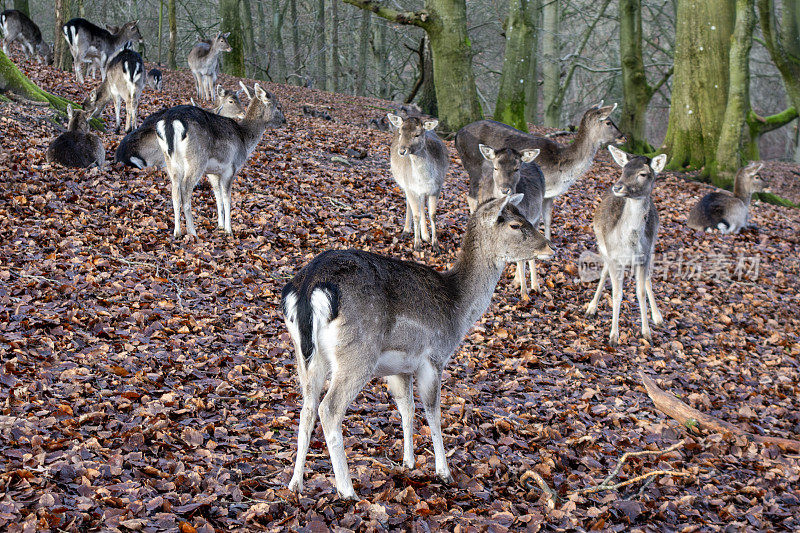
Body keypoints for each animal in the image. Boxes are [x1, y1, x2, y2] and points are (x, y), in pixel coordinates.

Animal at [282, 194, 556, 498]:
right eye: (515, 224)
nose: (549, 247)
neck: (457, 308)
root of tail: (309, 286)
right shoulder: (433, 358)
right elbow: (433, 411)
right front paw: (443, 472)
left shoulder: (399, 367)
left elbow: (407, 408)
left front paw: (408, 462)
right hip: (357, 353)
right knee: (329, 409)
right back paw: (347, 490)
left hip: (304, 355)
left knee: (307, 409)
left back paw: (295, 483)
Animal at [388, 111, 450, 251]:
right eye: (400, 132)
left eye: (417, 134)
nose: (402, 151)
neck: (425, 179)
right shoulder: (410, 187)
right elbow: (416, 215)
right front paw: (417, 245)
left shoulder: (436, 188)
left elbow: (433, 214)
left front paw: (435, 245)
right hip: (405, 185)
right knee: (409, 204)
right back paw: (406, 231)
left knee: (421, 205)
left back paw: (425, 236)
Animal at [456, 102, 624, 239]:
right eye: (608, 122)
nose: (623, 137)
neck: (563, 170)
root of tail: (457, 135)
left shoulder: (550, 194)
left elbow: (548, 219)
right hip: (473, 166)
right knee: (471, 196)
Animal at [476, 143, 552, 298]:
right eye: (495, 167)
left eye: (517, 168)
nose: (505, 190)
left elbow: (523, 257)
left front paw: (524, 292)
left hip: (536, 217)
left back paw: (534, 285)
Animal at [584, 145, 664, 344]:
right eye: (623, 169)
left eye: (643, 173)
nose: (617, 186)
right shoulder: (613, 257)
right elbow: (617, 293)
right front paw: (613, 336)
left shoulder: (644, 257)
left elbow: (640, 292)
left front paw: (647, 333)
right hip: (602, 245)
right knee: (603, 272)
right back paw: (591, 307)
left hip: (652, 246)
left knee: (648, 278)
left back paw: (658, 316)